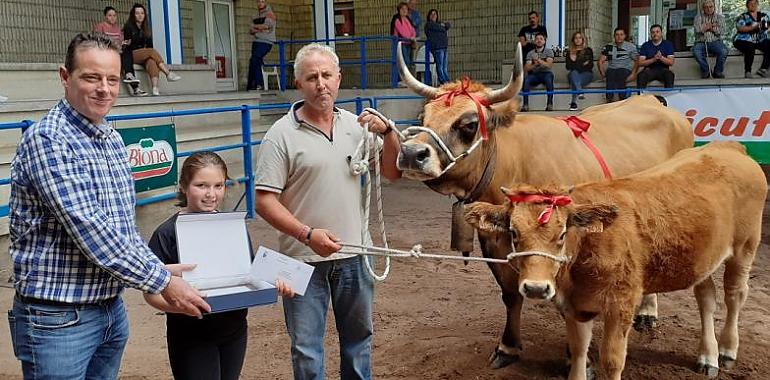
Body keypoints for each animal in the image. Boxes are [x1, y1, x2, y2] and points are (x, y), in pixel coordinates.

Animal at [392, 43, 692, 366]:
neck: (514, 165)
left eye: (469, 124)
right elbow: (510, 295)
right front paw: (508, 346)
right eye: (423, 116)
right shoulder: (494, 242)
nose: (411, 153)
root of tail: (651, 101)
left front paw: (577, 357)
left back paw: (648, 312)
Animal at [464, 142, 764, 380]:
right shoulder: (575, 306)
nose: (536, 288)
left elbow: (611, 360)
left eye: (562, 234)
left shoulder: (622, 303)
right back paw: (707, 356)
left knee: (735, 295)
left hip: (745, 246)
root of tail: (729, 147)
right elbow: (579, 352)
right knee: (706, 296)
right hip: (704, 258)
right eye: (514, 233)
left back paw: (726, 350)